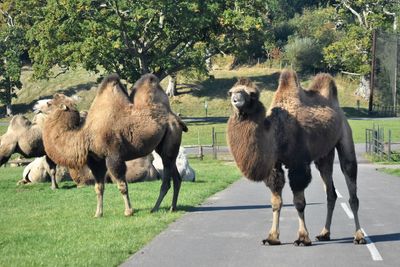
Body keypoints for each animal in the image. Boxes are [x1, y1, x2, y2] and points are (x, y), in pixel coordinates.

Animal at [43, 74, 187, 218]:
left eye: (49, 103)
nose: (39, 108)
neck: (85, 136)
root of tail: (177, 119)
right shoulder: (96, 160)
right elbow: (99, 187)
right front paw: (98, 213)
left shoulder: (113, 155)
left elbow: (122, 185)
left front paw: (128, 211)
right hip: (164, 146)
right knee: (176, 176)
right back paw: (172, 208)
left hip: (171, 134)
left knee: (166, 178)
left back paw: (155, 208)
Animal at [227, 69, 364, 247]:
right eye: (231, 92)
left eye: (251, 93)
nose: (236, 100)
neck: (277, 133)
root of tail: (339, 109)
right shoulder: (275, 165)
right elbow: (276, 202)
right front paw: (272, 237)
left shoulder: (298, 163)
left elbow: (299, 203)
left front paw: (302, 238)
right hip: (324, 155)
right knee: (330, 192)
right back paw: (324, 233)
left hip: (345, 135)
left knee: (351, 184)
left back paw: (359, 236)